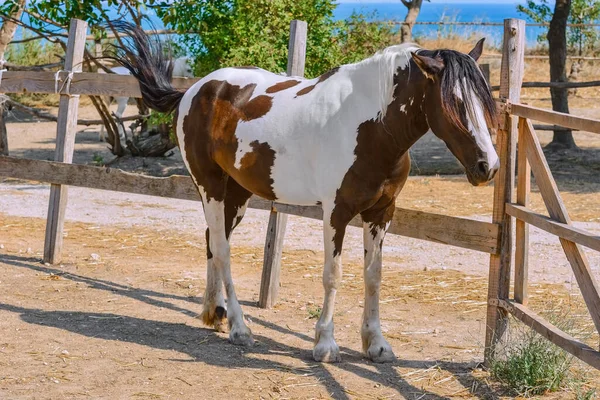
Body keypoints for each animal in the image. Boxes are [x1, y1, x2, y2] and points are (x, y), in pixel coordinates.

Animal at [110, 23, 500, 364]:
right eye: (454, 102)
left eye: (485, 100)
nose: (489, 166)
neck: (371, 127)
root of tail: (194, 91)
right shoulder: (336, 213)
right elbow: (333, 275)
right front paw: (325, 344)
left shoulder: (381, 213)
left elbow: (373, 276)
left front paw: (376, 344)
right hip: (210, 187)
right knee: (222, 250)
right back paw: (239, 327)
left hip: (235, 195)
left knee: (212, 241)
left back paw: (213, 312)